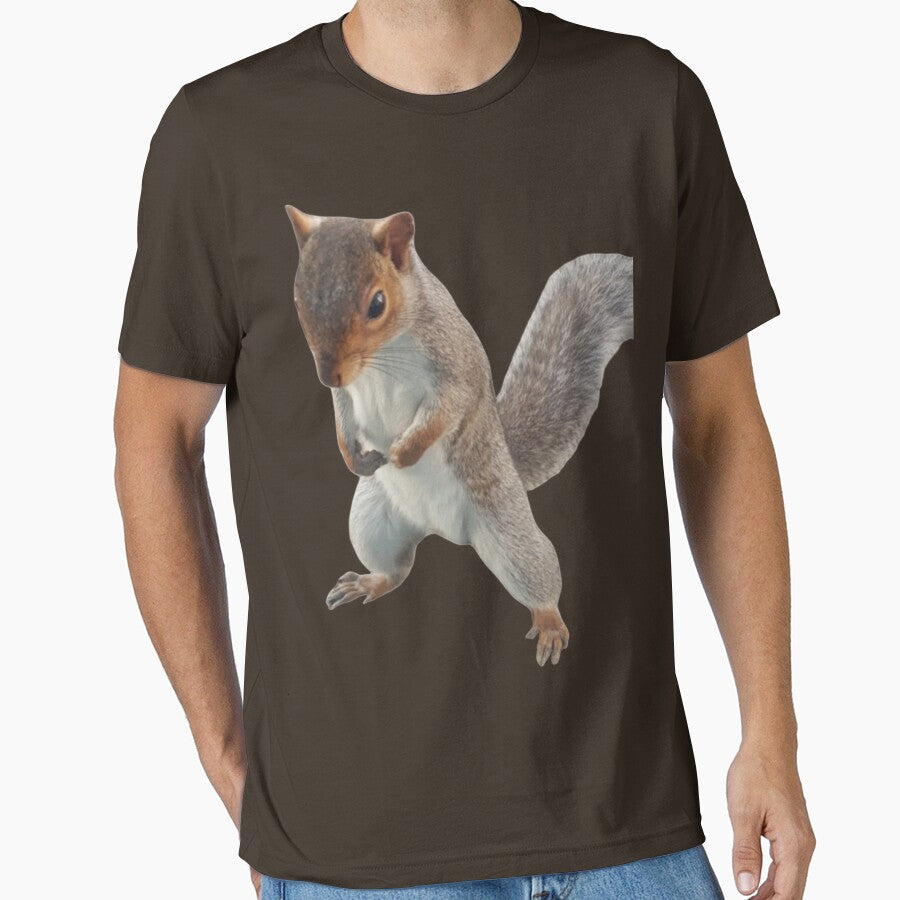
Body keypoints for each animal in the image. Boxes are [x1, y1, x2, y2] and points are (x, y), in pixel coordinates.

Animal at [286, 207, 633, 666]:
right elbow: (343, 415)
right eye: (298, 299)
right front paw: (354, 458)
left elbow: (446, 410)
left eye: (377, 303)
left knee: (539, 573)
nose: (328, 374)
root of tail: (441, 530)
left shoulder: (453, 364)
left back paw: (549, 622)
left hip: (506, 530)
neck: (384, 354)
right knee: (396, 570)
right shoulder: (346, 392)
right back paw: (371, 582)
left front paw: (404, 453)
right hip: (372, 525)